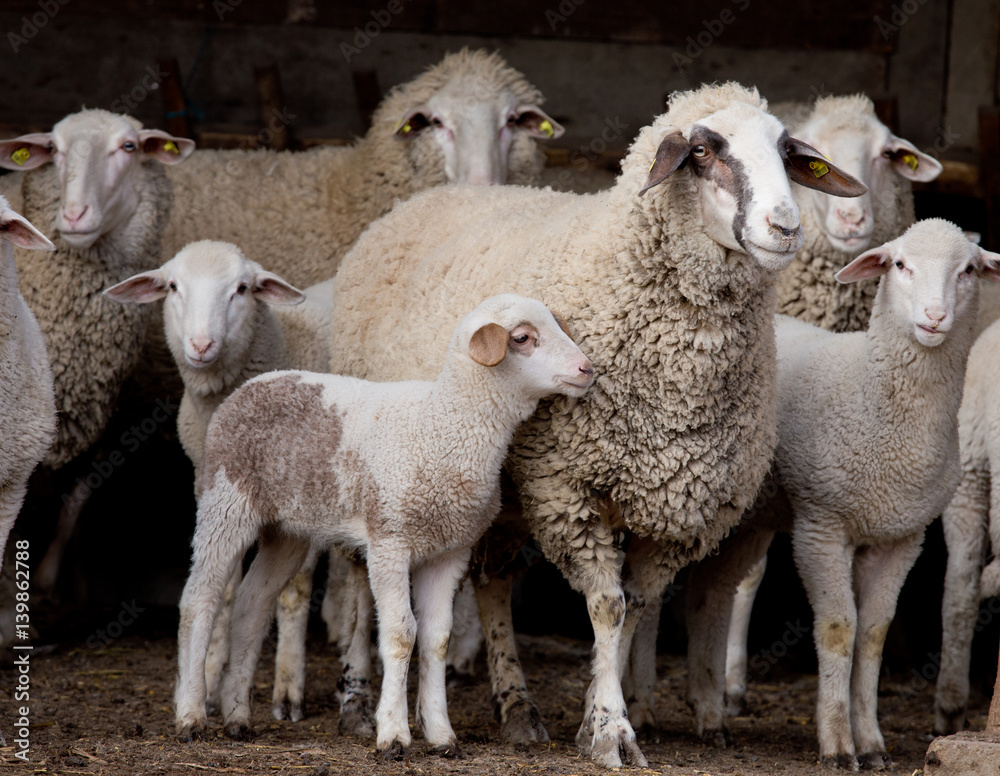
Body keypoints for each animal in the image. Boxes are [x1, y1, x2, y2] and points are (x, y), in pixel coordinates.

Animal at [103, 239, 333, 722]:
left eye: (242, 289)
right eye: (173, 286)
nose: (201, 344)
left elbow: (293, 590)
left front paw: (288, 689)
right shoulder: (211, 486)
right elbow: (224, 591)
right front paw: (206, 684)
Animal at [173, 293, 594, 755]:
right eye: (522, 338)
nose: (586, 369)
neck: (443, 425)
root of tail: (250, 387)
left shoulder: (450, 550)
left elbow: (437, 638)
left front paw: (441, 734)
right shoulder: (390, 540)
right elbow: (400, 633)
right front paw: (393, 732)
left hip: (286, 529)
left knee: (251, 605)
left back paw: (237, 716)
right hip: (225, 501)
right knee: (200, 599)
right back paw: (191, 715)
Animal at [326, 82, 866, 766]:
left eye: (787, 152)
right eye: (702, 151)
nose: (785, 227)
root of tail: (417, 201)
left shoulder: (673, 513)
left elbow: (633, 608)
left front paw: (592, 720)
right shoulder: (567, 490)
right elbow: (607, 607)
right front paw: (612, 730)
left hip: (497, 496)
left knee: (493, 582)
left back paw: (518, 709)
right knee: (358, 576)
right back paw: (354, 700)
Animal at [684, 219, 1000, 769]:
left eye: (967, 271)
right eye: (900, 265)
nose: (934, 317)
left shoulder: (900, 536)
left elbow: (872, 633)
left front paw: (871, 742)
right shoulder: (821, 524)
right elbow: (838, 627)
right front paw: (835, 743)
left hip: (748, 520)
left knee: (710, 595)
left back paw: (708, 712)